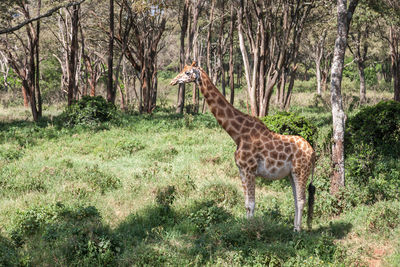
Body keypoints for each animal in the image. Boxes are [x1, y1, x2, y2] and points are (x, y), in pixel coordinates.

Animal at [169, 61, 316, 231]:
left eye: (187, 73)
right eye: (182, 70)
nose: (172, 81)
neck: (237, 134)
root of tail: (313, 152)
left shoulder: (250, 169)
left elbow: (251, 204)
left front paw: (251, 230)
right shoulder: (241, 170)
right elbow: (246, 204)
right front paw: (245, 227)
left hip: (301, 171)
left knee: (301, 199)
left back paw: (297, 231)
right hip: (292, 173)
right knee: (296, 199)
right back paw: (294, 228)